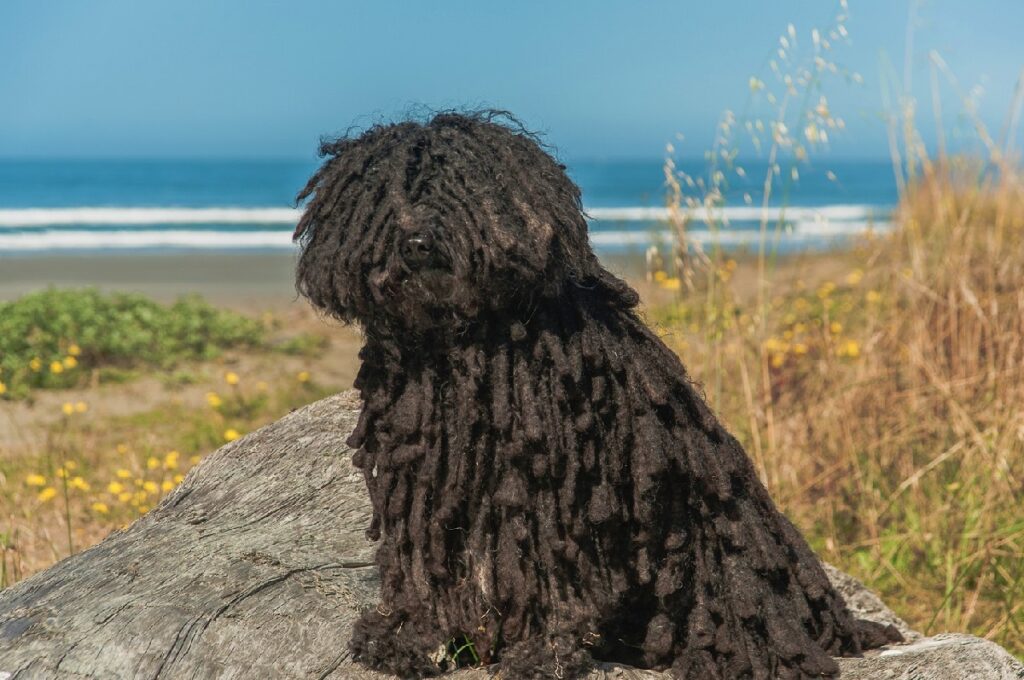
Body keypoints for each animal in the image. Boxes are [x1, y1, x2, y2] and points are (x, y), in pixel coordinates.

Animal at [292, 112, 901, 680]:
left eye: (460, 188)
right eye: (383, 194)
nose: (416, 242)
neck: (461, 346)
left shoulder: (552, 488)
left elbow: (548, 573)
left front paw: (542, 653)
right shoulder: (422, 480)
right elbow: (421, 560)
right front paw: (408, 637)